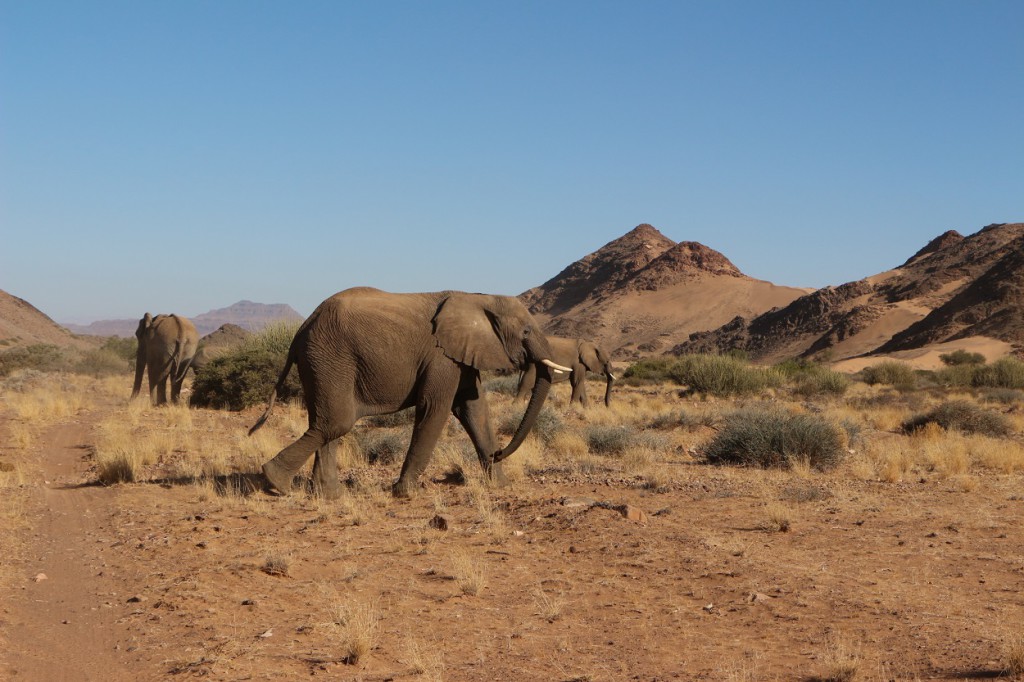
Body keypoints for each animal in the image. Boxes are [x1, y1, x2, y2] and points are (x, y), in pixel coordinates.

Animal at [245, 284, 569, 497]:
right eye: (526, 331)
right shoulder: (441, 356)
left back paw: (328, 496)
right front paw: (404, 493)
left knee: (326, 423)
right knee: (336, 422)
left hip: (320, 361)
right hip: (329, 357)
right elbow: (435, 409)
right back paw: (276, 483)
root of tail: (301, 328)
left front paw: (500, 485)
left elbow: (474, 410)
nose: (499, 453)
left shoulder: (460, 356)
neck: (477, 297)